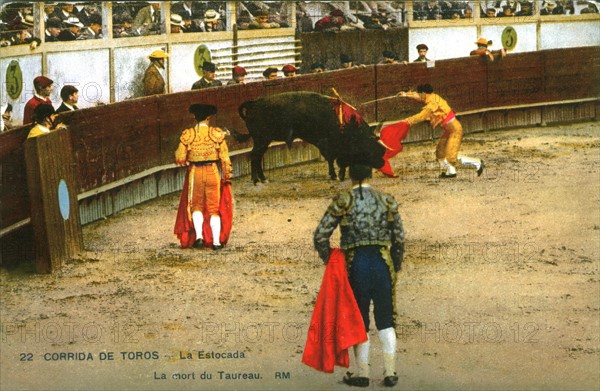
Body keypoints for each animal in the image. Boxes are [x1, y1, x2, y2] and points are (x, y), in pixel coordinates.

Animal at [232, 91, 382, 185]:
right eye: (370, 145)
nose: (377, 166)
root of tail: (254, 103)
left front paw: (337, 175)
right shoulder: (329, 144)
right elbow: (332, 159)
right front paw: (335, 175)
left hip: (264, 141)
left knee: (257, 157)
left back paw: (262, 179)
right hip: (261, 140)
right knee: (254, 156)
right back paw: (255, 180)